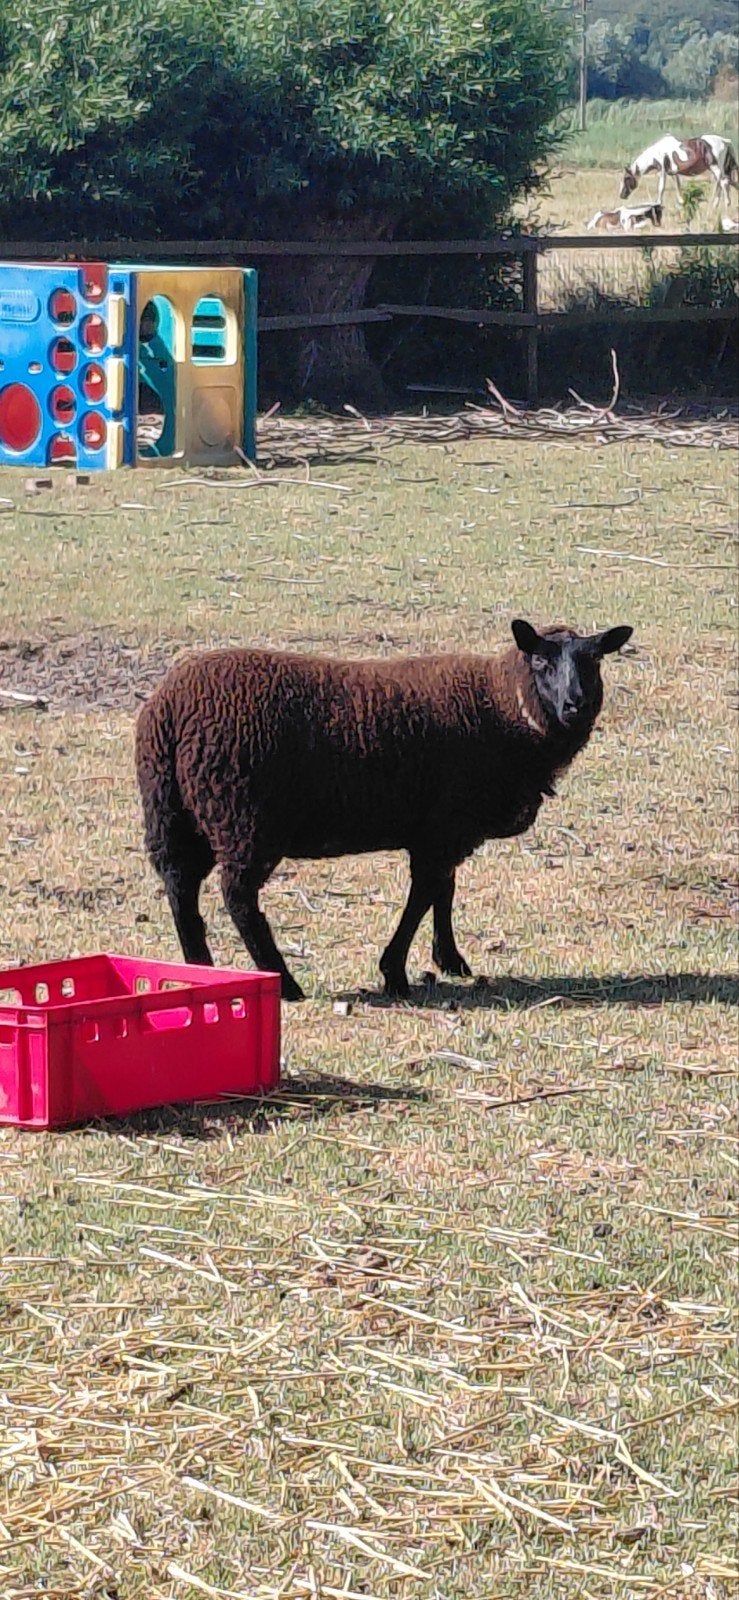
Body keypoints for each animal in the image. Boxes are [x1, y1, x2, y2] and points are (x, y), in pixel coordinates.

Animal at [135, 619, 632, 1001]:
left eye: (593, 662)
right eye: (541, 662)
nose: (575, 705)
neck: (502, 707)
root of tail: (170, 708)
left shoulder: (444, 828)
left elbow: (444, 891)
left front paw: (449, 959)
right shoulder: (443, 827)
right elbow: (424, 895)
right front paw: (394, 972)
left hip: (174, 813)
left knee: (180, 890)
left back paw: (201, 971)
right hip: (242, 816)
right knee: (238, 899)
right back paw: (286, 983)